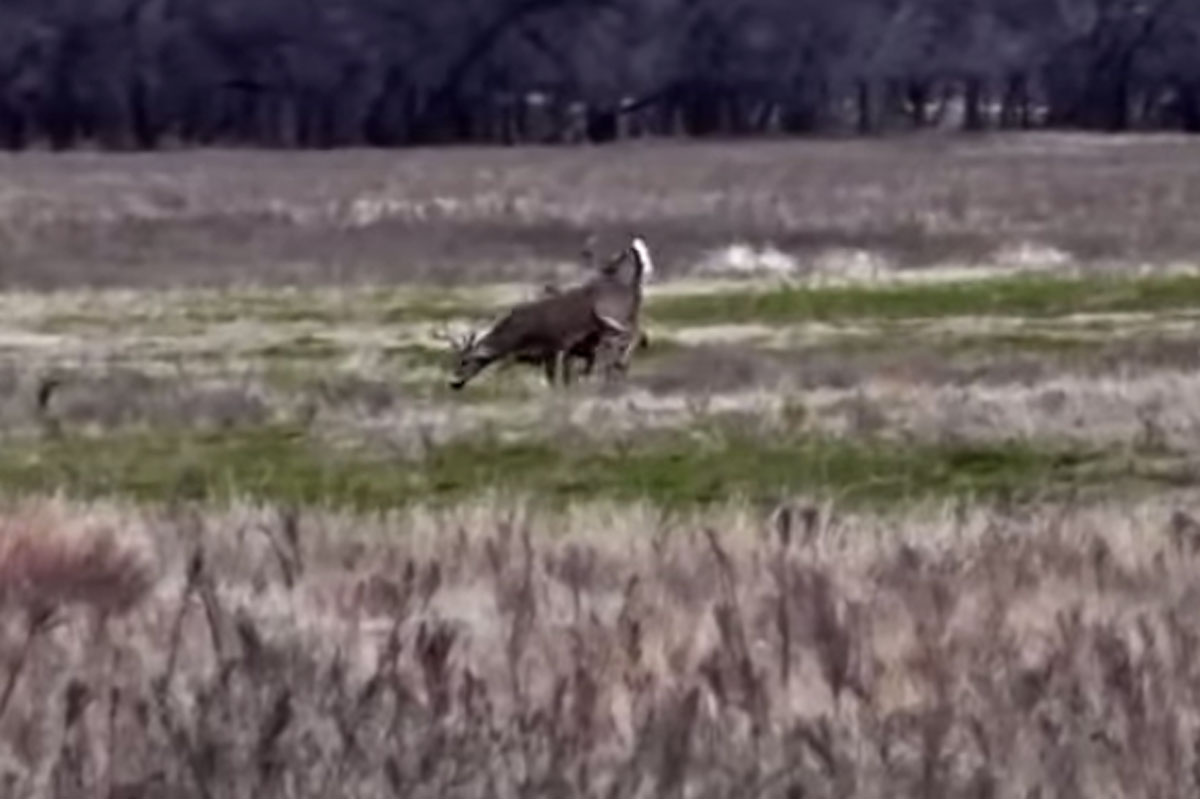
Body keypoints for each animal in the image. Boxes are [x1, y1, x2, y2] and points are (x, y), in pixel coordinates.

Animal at [443, 235, 656, 391]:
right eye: (454, 361)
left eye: (464, 362)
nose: (453, 383)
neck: (515, 336)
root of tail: (633, 285)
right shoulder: (536, 356)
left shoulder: (553, 347)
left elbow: (553, 379)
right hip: (623, 318)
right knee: (637, 335)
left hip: (610, 315)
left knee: (636, 334)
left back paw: (618, 365)